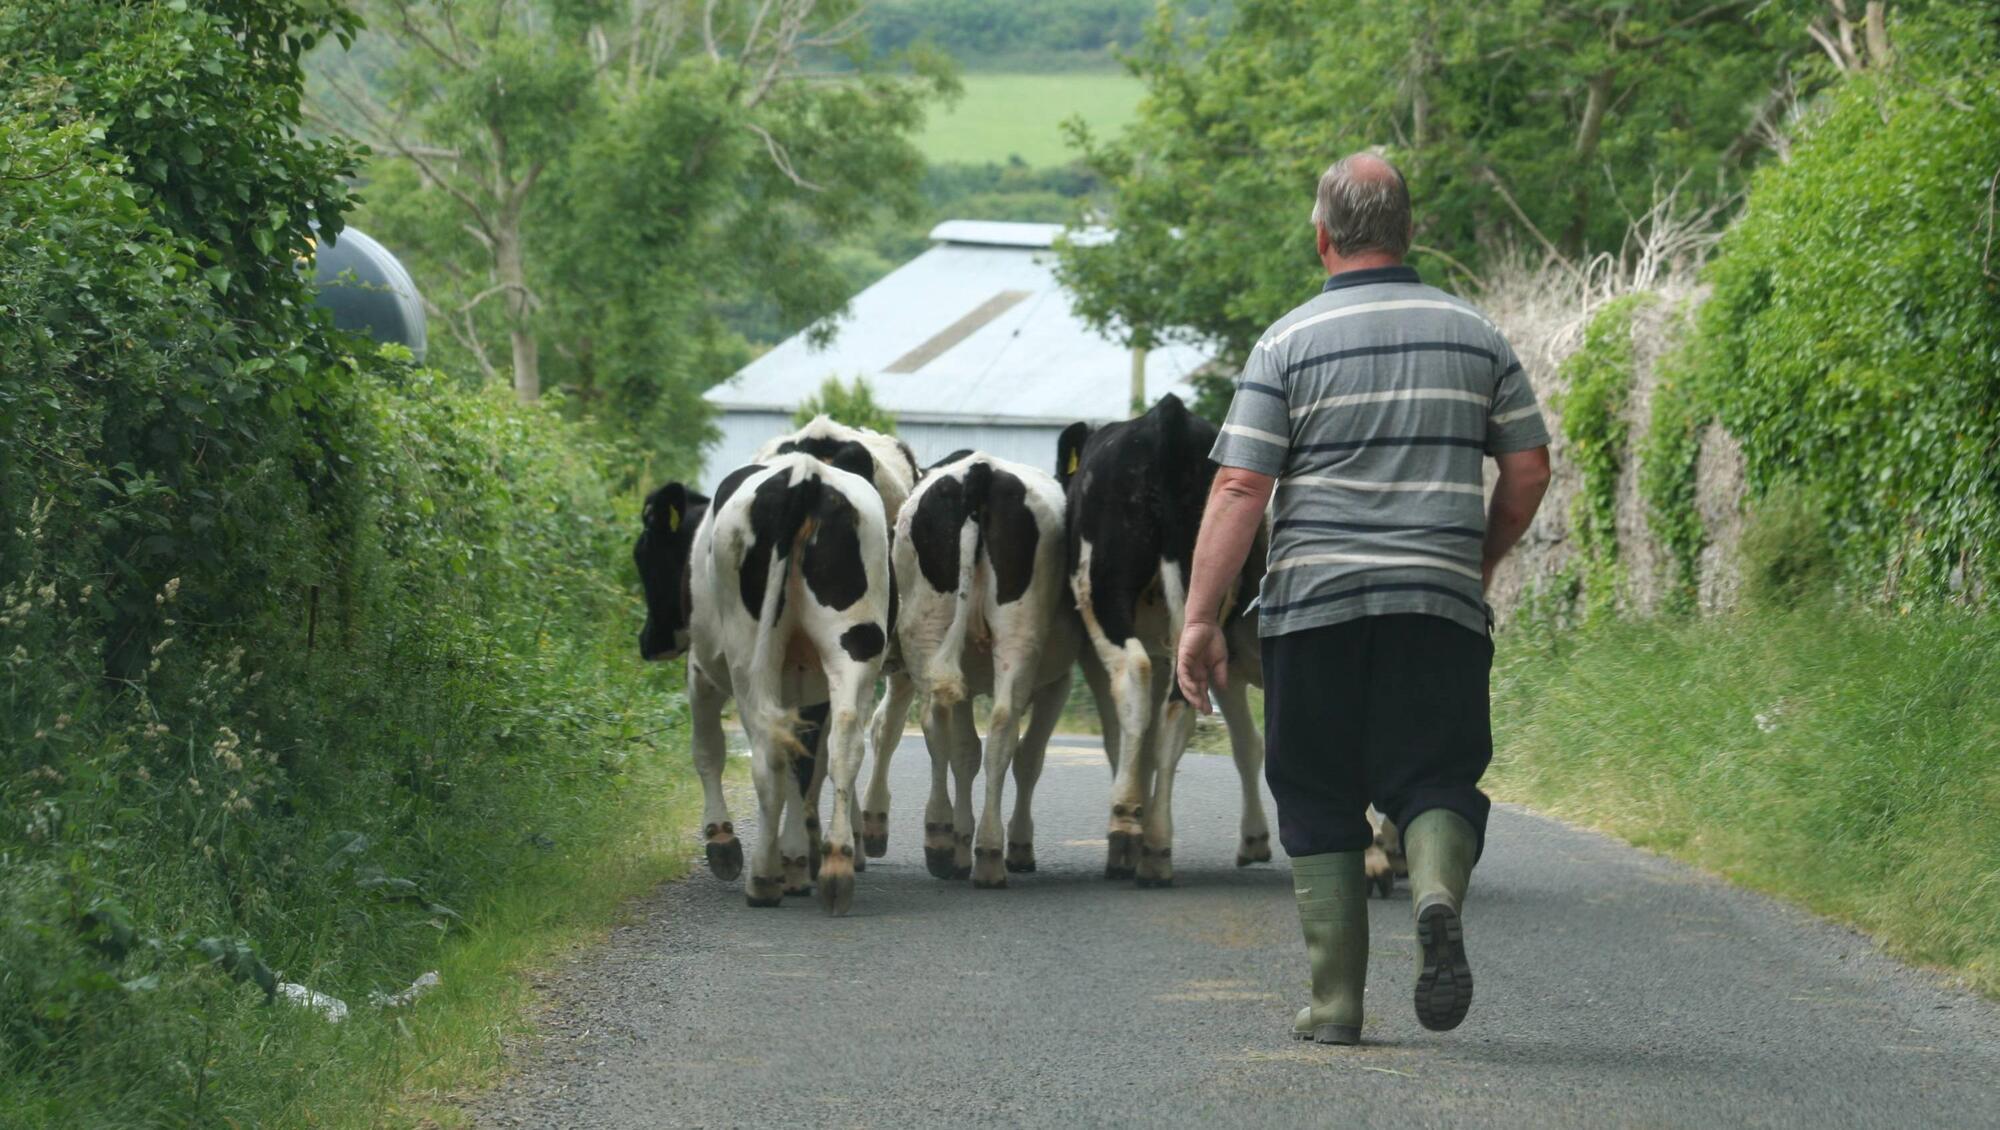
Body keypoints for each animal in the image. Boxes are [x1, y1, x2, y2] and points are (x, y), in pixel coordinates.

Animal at [634, 453, 891, 914]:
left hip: (749, 654)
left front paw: (723, 841)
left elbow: (708, 751)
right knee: (843, 745)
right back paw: (835, 867)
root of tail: (806, 474)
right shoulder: (807, 688)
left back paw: (762, 878)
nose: (649, 642)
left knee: (767, 752)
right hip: (853, 643)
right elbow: (804, 765)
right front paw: (797, 859)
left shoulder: (699, 671)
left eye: (642, 553)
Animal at [892, 450, 1076, 887]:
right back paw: (987, 852)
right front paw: (1019, 847)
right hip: (1018, 632)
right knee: (1002, 729)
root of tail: (981, 470)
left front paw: (960, 842)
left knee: (941, 719)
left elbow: (964, 753)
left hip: (929, 625)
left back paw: (944, 840)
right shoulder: (1058, 682)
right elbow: (1029, 758)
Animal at [1058, 394, 1274, 887]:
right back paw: (1156, 847)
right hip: (1199, 600)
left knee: (1134, 681)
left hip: (1105, 593)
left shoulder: (1096, 654)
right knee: (1180, 710)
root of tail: (1166, 419)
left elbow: (1119, 732)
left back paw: (1125, 830)